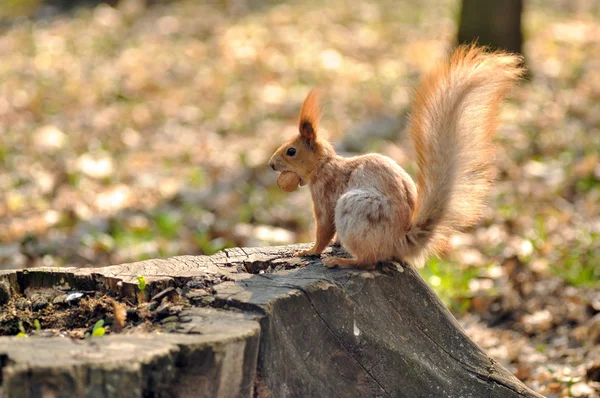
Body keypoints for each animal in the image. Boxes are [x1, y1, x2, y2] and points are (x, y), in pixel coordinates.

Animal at [270, 45, 524, 270]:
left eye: (291, 151)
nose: (271, 164)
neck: (324, 165)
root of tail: (398, 241)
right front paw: (331, 245)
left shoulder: (325, 193)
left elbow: (323, 229)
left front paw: (310, 251)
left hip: (354, 208)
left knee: (368, 261)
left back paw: (342, 262)